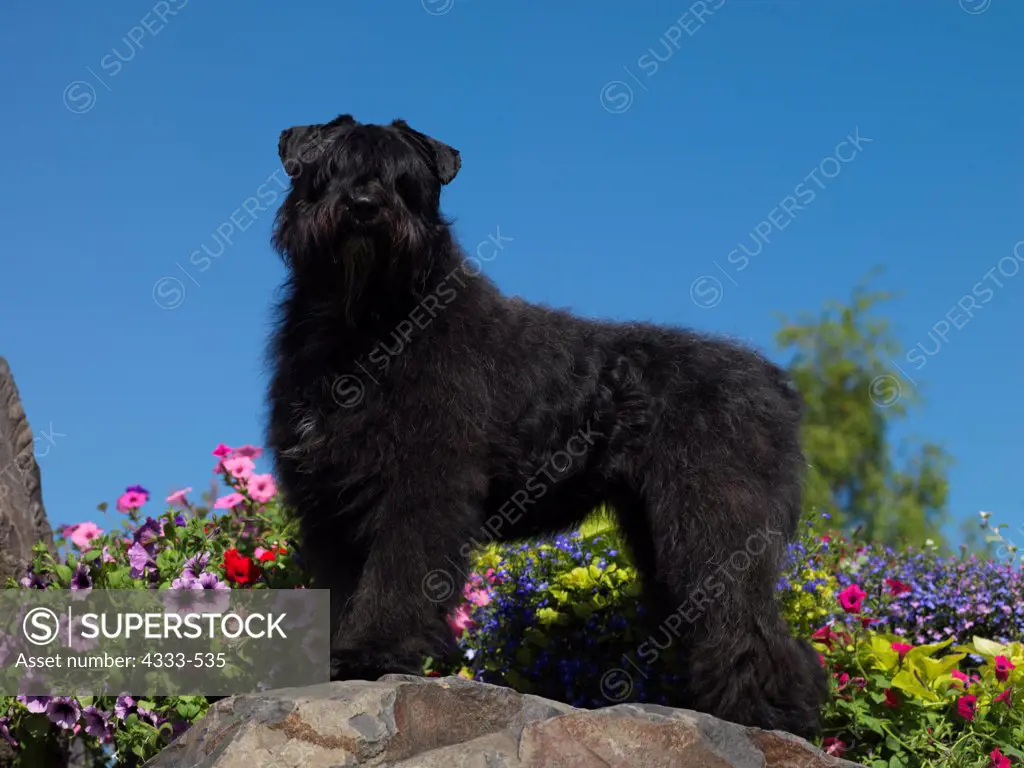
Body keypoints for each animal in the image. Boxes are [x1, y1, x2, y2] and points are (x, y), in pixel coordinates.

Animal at [264, 114, 823, 741]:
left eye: (405, 180)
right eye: (329, 168)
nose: (364, 205)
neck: (365, 326)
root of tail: (776, 386)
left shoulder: (420, 488)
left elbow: (396, 576)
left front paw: (372, 653)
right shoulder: (331, 500)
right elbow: (344, 583)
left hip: (716, 524)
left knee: (748, 622)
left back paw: (771, 714)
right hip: (664, 535)